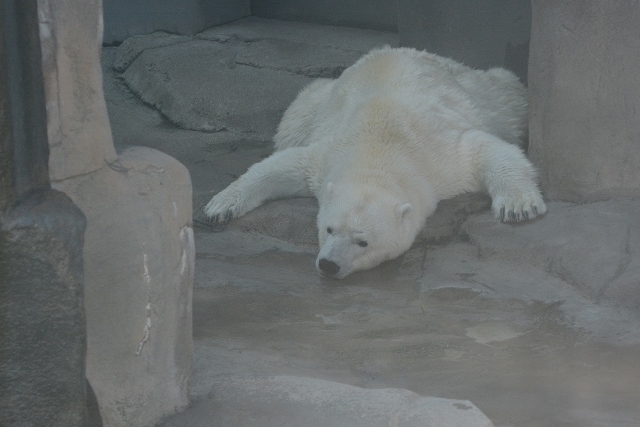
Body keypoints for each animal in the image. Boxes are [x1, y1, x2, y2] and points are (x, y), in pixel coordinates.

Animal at [205, 47, 544, 280]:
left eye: (363, 242)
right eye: (328, 228)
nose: (328, 264)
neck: (378, 146)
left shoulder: (440, 158)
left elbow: (484, 149)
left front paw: (518, 207)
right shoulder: (329, 153)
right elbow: (284, 165)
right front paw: (220, 207)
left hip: (478, 92)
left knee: (508, 94)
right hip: (318, 103)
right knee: (295, 117)